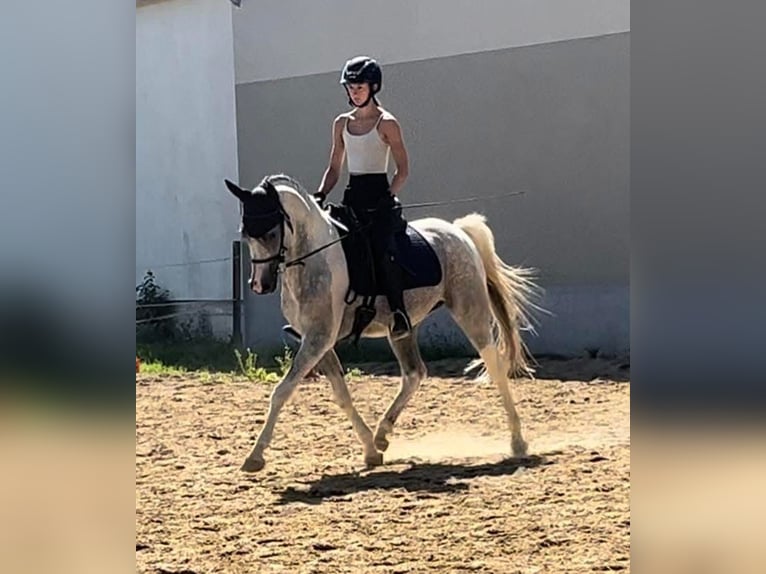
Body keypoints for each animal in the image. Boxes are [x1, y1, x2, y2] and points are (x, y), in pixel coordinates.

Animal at [224, 173, 543, 472]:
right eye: (245, 234)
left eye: (270, 232)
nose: (259, 285)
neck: (315, 258)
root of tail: (458, 231)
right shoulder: (318, 341)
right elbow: (342, 394)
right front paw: (370, 450)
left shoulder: (318, 339)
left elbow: (282, 391)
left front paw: (255, 456)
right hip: (402, 328)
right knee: (414, 373)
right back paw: (382, 435)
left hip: (470, 311)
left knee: (495, 366)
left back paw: (518, 442)